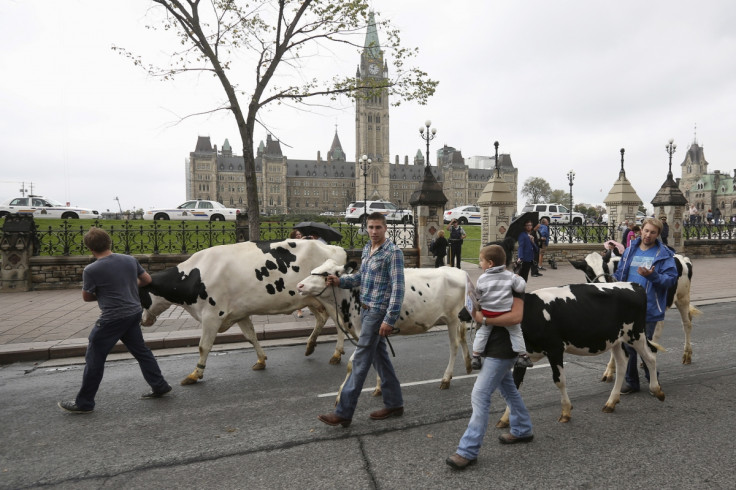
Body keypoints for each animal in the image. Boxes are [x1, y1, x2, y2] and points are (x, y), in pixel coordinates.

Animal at [140, 239, 348, 384]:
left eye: (139, 293)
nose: (142, 320)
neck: (194, 275)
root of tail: (335, 249)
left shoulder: (211, 316)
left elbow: (203, 346)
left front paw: (195, 374)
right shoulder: (240, 313)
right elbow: (251, 336)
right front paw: (261, 360)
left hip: (329, 300)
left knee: (339, 325)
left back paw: (337, 354)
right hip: (310, 298)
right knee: (322, 319)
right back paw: (310, 345)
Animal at [294, 260, 472, 390]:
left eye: (325, 273)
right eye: (314, 269)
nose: (299, 285)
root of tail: (459, 271)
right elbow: (377, 359)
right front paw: (380, 387)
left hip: (452, 318)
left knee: (454, 345)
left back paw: (446, 378)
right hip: (460, 317)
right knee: (463, 337)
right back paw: (469, 365)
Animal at [494, 282, 668, 426]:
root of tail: (634, 285)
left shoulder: (555, 348)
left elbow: (559, 381)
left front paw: (566, 411)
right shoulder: (522, 355)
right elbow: (515, 385)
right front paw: (505, 418)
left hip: (635, 334)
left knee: (650, 356)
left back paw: (657, 390)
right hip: (616, 339)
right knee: (622, 362)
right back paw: (611, 402)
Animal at [568, 253, 700, 376]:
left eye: (605, 268)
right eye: (589, 272)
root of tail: (682, 257)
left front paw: (610, 369)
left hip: (683, 297)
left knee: (686, 324)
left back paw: (687, 355)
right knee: (658, 329)